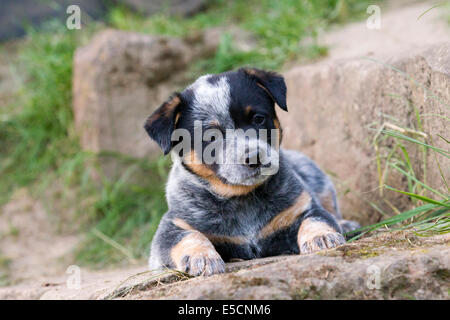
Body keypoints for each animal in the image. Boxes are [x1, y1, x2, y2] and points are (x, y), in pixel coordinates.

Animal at [142, 67, 360, 276]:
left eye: (258, 118)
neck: (242, 198)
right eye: (211, 136)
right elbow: (187, 236)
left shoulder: (302, 207)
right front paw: (202, 258)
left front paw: (323, 237)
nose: (254, 157)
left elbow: (316, 219)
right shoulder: (171, 228)